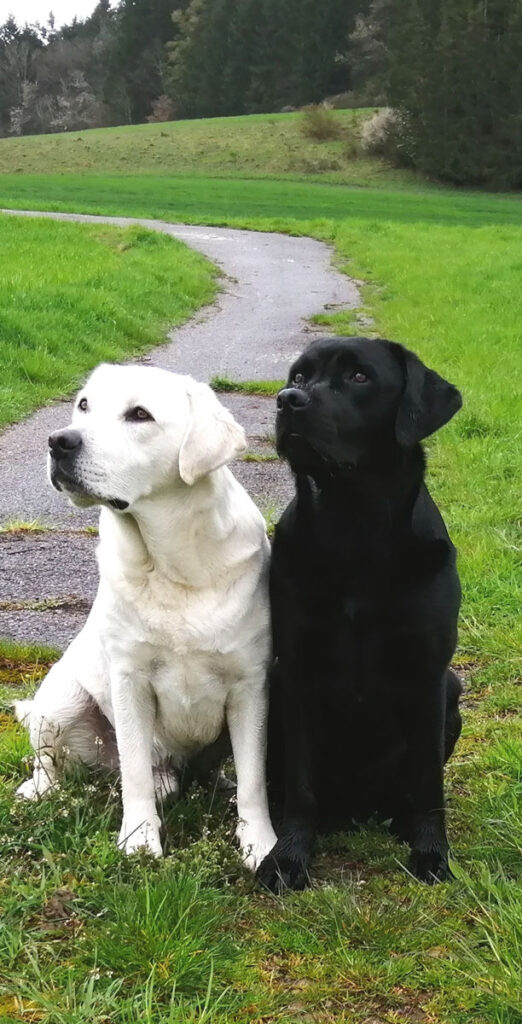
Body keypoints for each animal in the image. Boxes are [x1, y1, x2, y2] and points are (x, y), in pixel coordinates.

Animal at [14, 364, 276, 868]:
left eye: (140, 414)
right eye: (83, 405)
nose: (59, 441)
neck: (173, 565)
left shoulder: (250, 687)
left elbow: (254, 779)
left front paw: (261, 845)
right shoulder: (129, 681)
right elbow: (133, 772)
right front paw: (138, 840)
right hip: (61, 701)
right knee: (55, 764)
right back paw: (38, 790)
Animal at [256, 339, 460, 892]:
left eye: (360, 377)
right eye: (299, 375)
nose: (288, 400)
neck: (354, 528)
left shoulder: (428, 674)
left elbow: (429, 786)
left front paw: (432, 854)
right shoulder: (296, 672)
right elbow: (302, 784)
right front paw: (288, 857)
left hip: (453, 688)